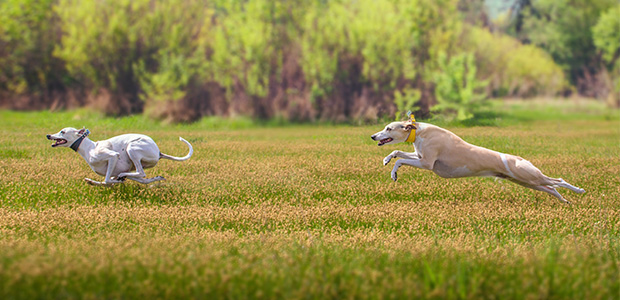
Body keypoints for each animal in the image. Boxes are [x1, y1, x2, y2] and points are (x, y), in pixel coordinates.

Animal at [46, 127, 193, 186]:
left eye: (62, 131)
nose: (48, 135)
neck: (89, 148)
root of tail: (158, 152)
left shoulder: (112, 156)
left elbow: (106, 181)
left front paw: (117, 181)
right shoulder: (112, 171)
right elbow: (106, 181)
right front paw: (91, 181)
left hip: (132, 148)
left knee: (141, 173)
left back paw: (123, 177)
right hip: (133, 164)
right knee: (142, 178)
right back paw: (156, 178)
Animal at [372, 120, 588, 204]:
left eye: (389, 128)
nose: (373, 136)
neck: (418, 132)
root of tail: (519, 159)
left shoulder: (427, 163)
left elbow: (401, 160)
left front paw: (394, 172)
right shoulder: (420, 156)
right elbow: (397, 152)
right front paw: (387, 160)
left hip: (529, 176)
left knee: (558, 181)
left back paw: (579, 191)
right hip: (528, 182)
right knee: (551, 188)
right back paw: (565, 201)